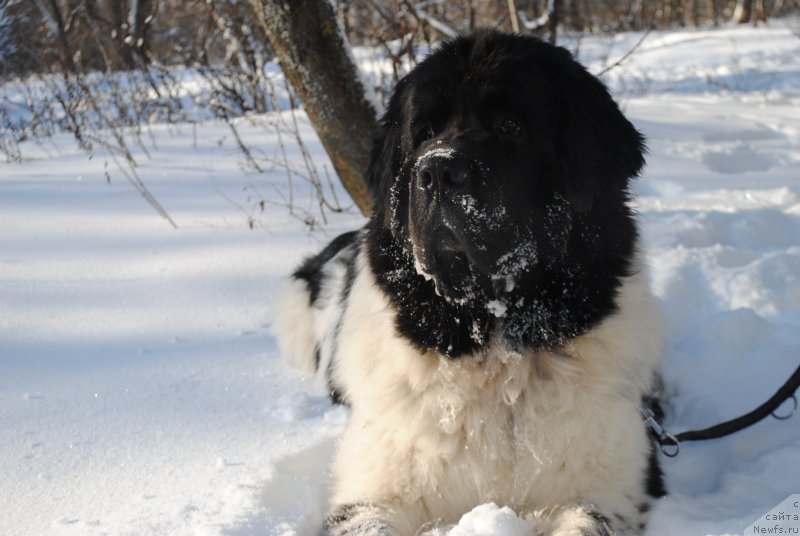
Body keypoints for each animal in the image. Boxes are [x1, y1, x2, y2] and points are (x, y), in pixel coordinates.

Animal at [274, 30, 664, 536]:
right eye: (423, 134)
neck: (494, 335)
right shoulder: (370, 491)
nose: (437, 170)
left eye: (510, 127)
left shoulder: (612, 487)